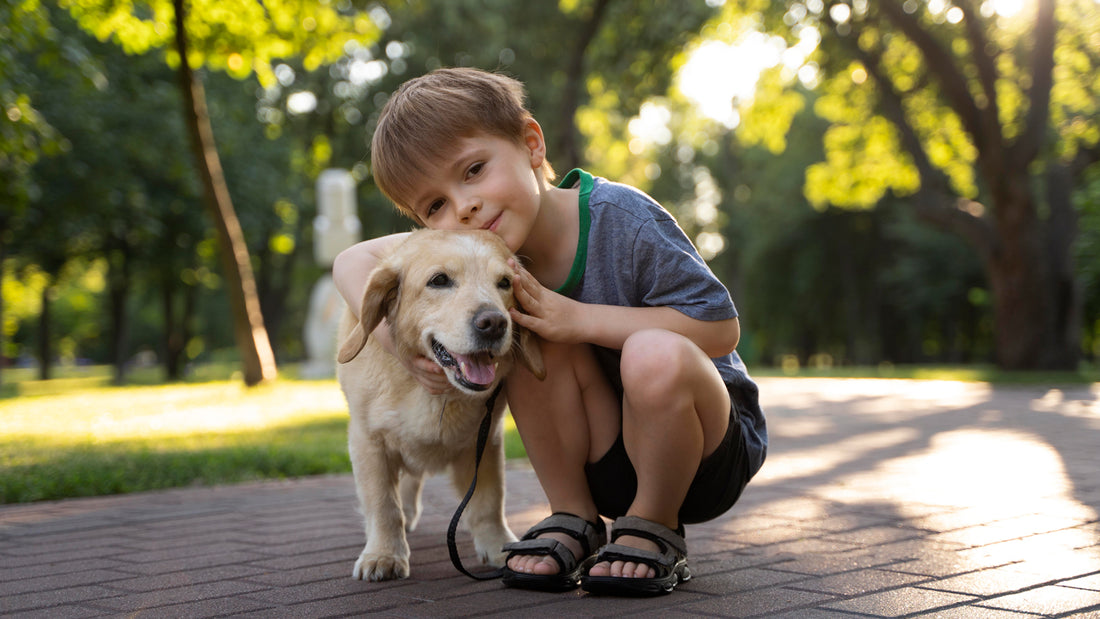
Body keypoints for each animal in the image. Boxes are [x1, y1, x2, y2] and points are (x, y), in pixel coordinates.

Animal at [332, 228, 543, 580]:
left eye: (504, 283)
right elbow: (383, 504)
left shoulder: (486, 440)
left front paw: (497, 546)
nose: (494, 323)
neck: (438, 393)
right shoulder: (368, 441)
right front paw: (384, 554)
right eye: (440, 280)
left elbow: (489, 501)